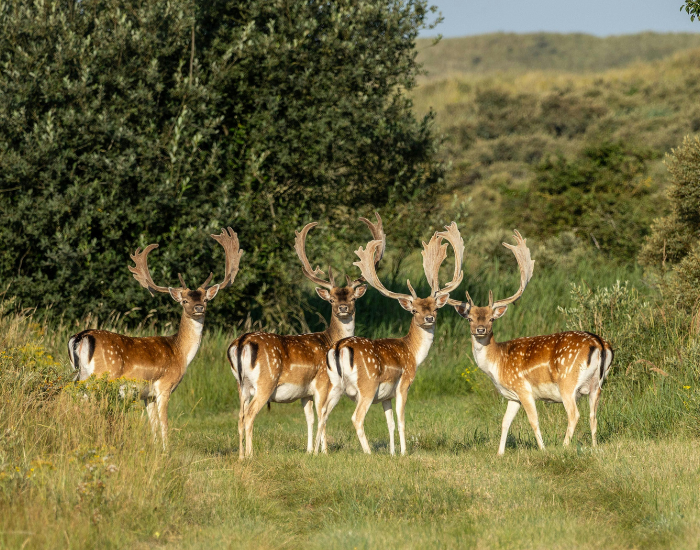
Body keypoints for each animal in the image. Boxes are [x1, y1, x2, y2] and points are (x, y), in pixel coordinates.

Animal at [68, 228, 243, 449]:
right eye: (184, 300)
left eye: (205, 299)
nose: (198, 308)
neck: (180, 352)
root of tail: (80, 337)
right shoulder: (164, 386)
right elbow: (164, 424)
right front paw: (167, 450)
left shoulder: (147, 395)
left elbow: (153, 426)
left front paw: (155, 449)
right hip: (100, 377)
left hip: (79, 376)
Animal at [228, 214, 385, 459]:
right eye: (331, 299)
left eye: (352, 298)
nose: (343, 308)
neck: (329, 339)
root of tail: (241, 342)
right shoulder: (322, 382)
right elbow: (323, 416)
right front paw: (324, 452)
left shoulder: (304, 393)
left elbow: (309, 418)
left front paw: (310, 450)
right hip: (265, 382)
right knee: (250, 415)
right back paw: (251, 455)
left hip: (240, 385)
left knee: (239, 417)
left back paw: (241, 455)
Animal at [316, 222, 464, 456]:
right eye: (414, 310)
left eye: (434, 308)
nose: (429, 318)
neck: (413, 353)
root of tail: (339, 347)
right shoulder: (404, 383)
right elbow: (401, 421)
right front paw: (403, 453)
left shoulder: (385, 396)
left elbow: (390, 423)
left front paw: (393, 453)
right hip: (367, 385)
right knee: (356, 418)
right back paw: (368, 452)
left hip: (334, 384)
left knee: (322, 413)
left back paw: (316, 452)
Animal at [449, 230, 614, 455]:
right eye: (470, 318)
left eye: (491, 319)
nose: (480, 330)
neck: (497, 363)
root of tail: (600, 344)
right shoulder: (512, 397)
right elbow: (505, 422)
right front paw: (500, 453)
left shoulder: (523, 388)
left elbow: (533, 421)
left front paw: (542, 448)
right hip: (597, 385)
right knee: (593, 415)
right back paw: (595, 447)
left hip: (567, 382)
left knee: (574, 414)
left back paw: (563, 447)